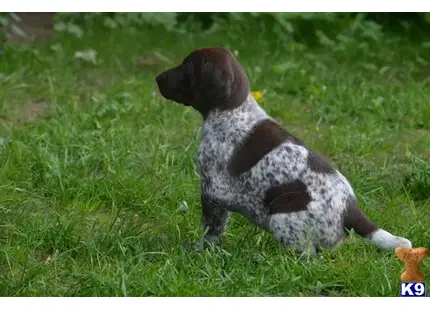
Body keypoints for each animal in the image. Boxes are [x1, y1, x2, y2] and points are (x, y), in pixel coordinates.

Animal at [155, 46, 414, 254]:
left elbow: (211, 228)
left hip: (282, 214)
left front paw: (199, 249)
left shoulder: (213, 190)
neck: (232, 112)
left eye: (187, 65)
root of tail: (350, 210)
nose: (157, 77)